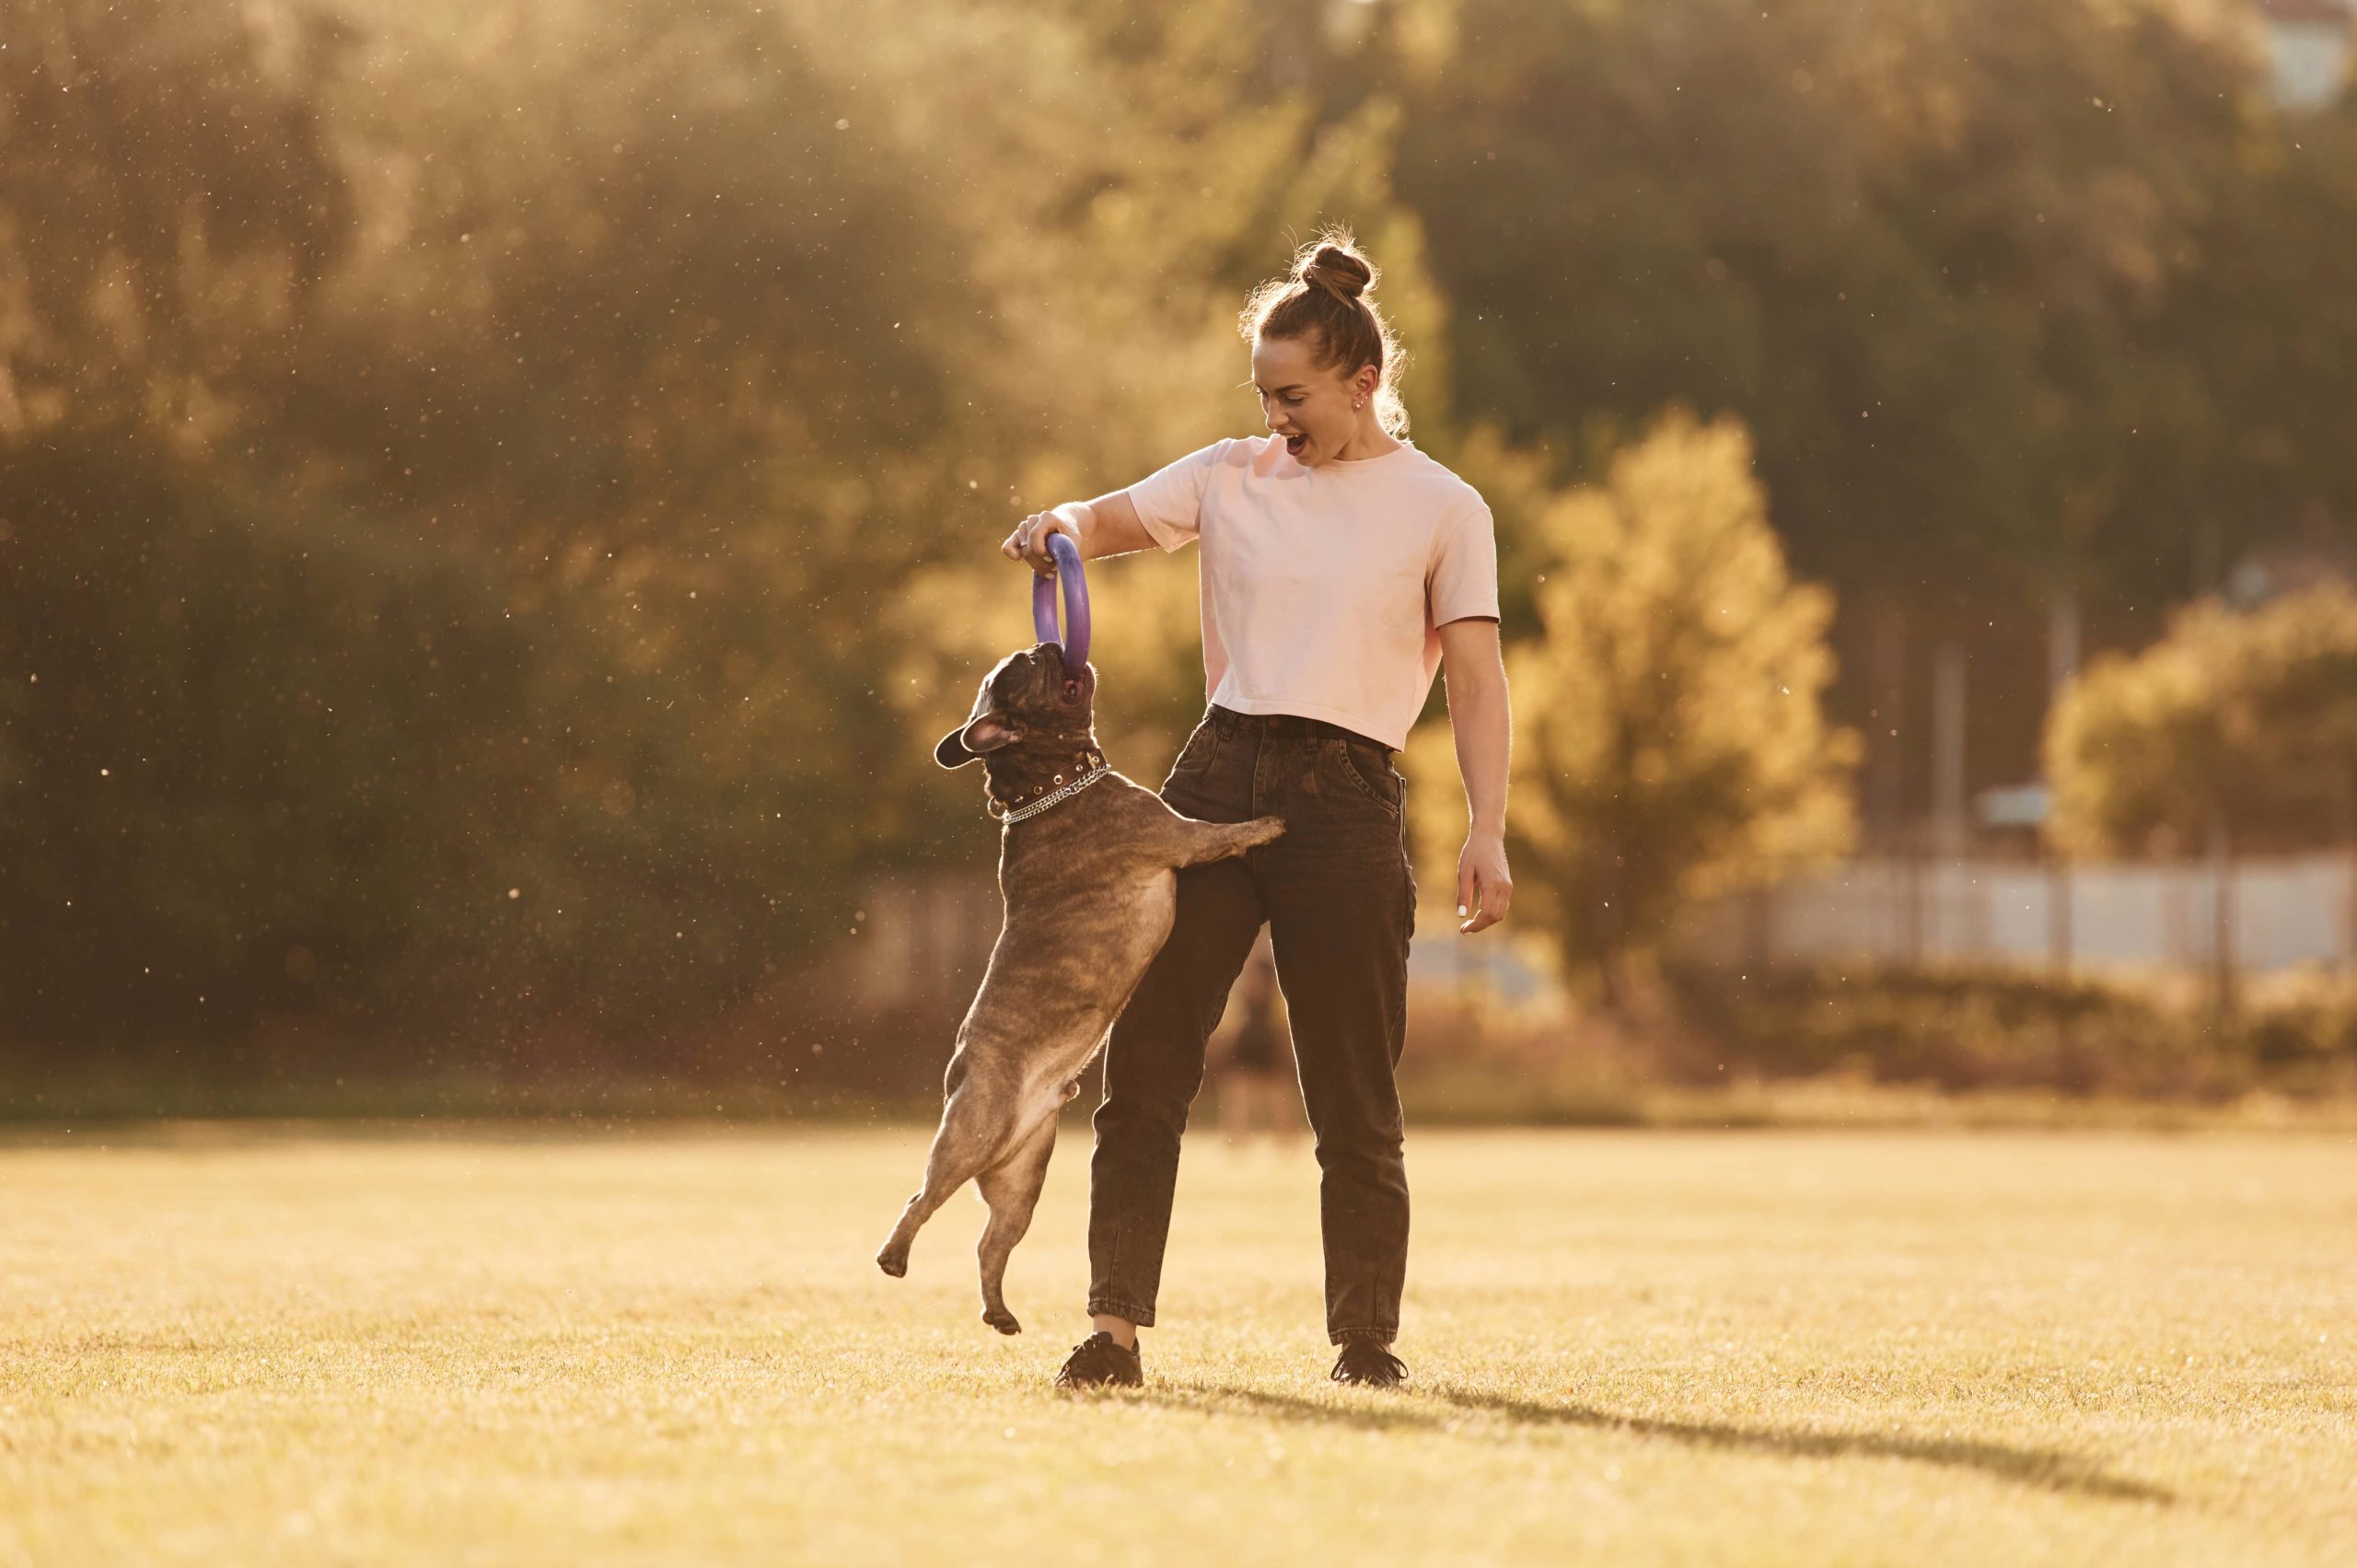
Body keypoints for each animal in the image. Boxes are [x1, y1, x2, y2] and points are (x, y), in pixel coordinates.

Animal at [881, 636, 1291, 1330]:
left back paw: (999, 1312)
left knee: (992, 1240)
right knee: (921, 1196)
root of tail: (959, 1076)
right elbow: (1221, 834)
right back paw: (894, 1255)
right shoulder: (1176, 835)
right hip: (971, 1134)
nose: (1048, 642)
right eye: (1026, 669)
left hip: (1024, 1176)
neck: (1047, 782)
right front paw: (1266, 824)